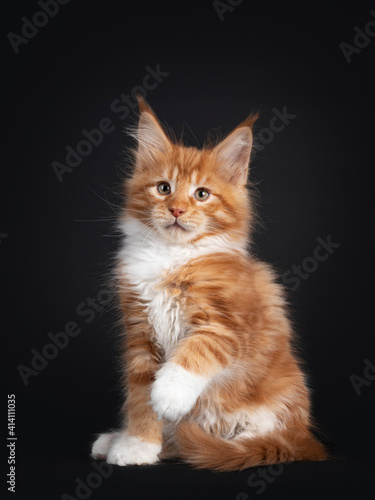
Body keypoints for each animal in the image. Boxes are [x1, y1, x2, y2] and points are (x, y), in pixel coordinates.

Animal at [90, 98, 326, 472]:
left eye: (202, 194)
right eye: (164, 188)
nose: (177, 210)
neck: (171, 256)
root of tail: (303, 439)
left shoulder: (228, 325)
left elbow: (194, 352)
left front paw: (168, 393)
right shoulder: (140, 333)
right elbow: (140, 397)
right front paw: (138, 444)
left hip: (269, 414)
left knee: (252, 440)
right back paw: (123, 439)